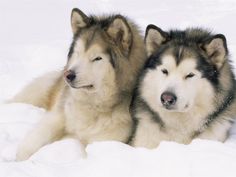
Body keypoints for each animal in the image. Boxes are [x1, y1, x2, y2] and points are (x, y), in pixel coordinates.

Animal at [13, 8, 147, 160]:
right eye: (77, 53)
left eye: (97, 58)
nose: (68, 75)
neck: (92, 105)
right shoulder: (57, 117)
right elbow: (32, 143)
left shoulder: (104, 140)